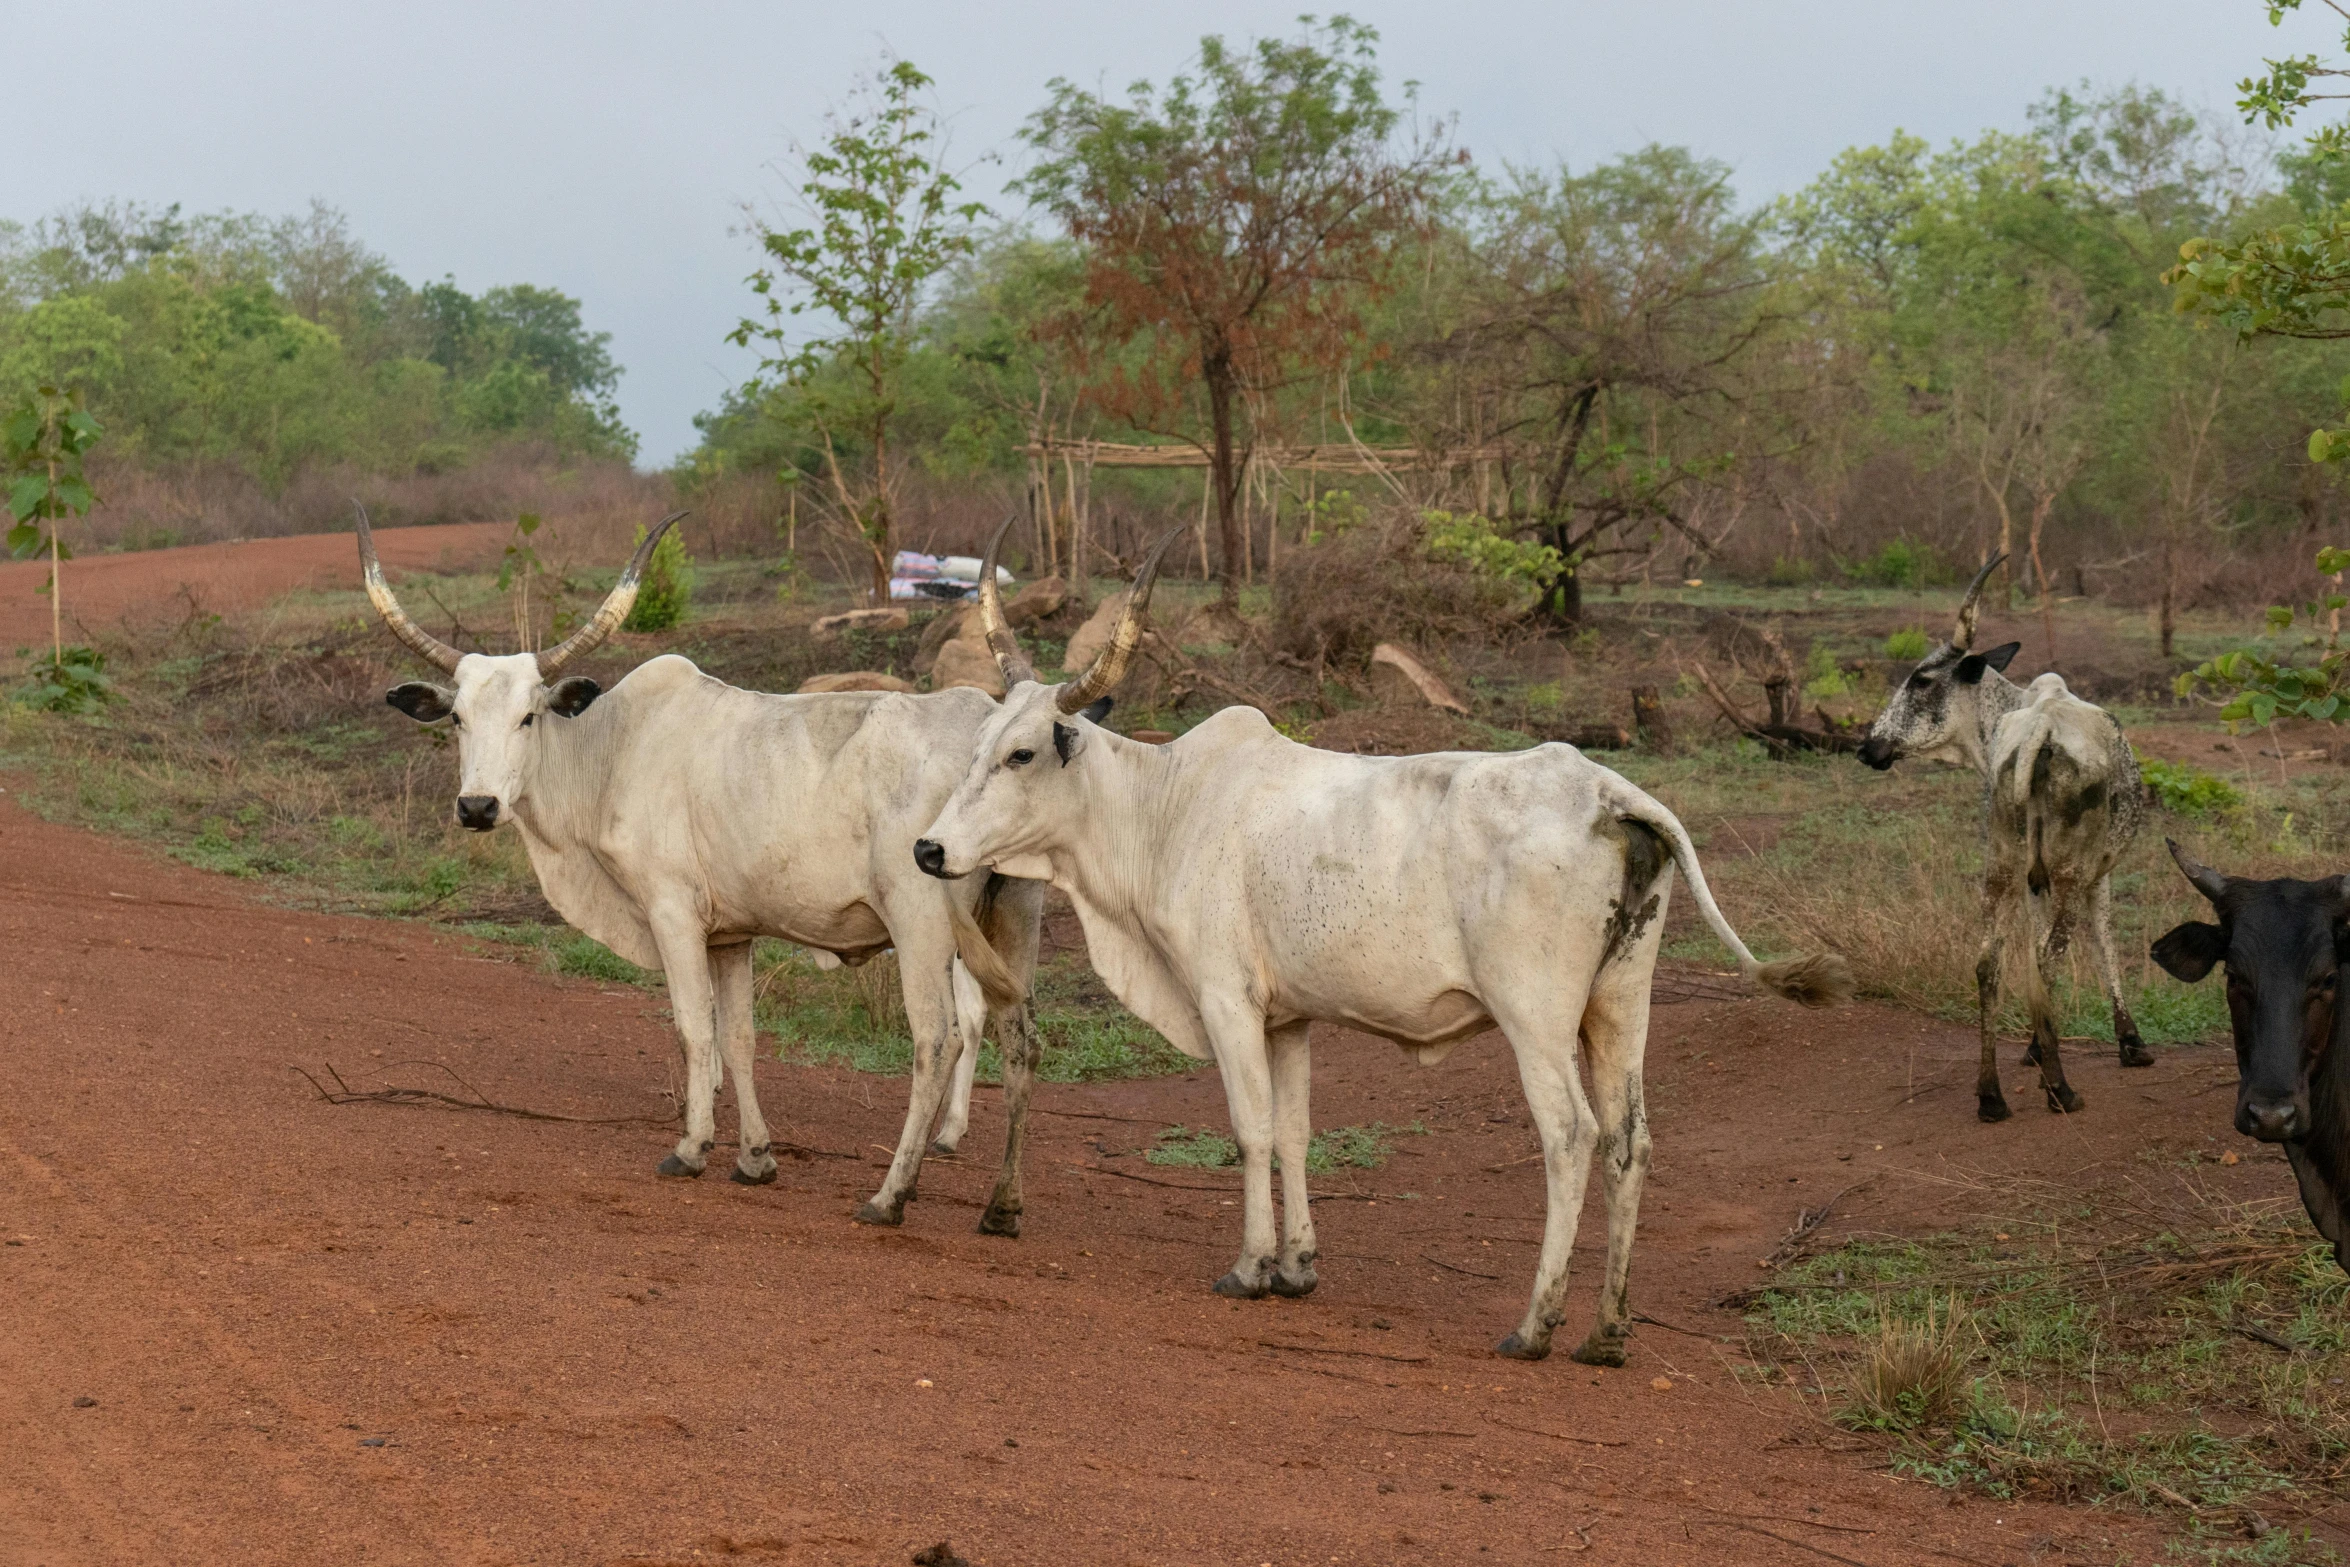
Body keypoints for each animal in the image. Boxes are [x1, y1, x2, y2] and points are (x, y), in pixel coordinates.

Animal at [357, 509, 1048, 1231]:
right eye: (458, 718)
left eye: (528, 716)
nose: (477, 806)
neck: (611, 748)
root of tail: (992, 723)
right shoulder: (731, 935)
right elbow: (737, 1036)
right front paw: (755, 1157)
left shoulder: (673, 914)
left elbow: (693, 1027)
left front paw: (691, 1148)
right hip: (1014, 915)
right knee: (1022, 1037)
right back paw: (1003, 1205)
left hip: (921, 923)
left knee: (938, 1038)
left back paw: (892, 1193)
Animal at [911, 521, 1851, 1362]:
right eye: (979, 746)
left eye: (1023, 754)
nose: (929, 849)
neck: (1166, 804)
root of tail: (1605, 790)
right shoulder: (1288, 1017)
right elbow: (1294, 1131)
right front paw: (1297, 1266)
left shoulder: (1226, 998)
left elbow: (1251, 1126)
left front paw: (1249, 1265)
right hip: (1620, 1007)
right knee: (1631, 1140)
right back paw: (1608, 1332)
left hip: (1537, 1018)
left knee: (1571, 1136)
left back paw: (1536, 1325)